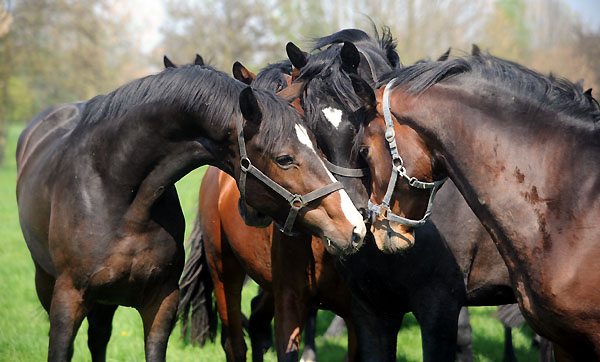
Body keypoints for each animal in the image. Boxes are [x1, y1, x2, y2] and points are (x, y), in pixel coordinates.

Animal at [17, 63, 366, 360]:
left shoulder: (161, 302)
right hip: (48, 284)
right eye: (284, 159)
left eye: (318, 146)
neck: (116, 193)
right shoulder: (68, 300)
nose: (354, 227)